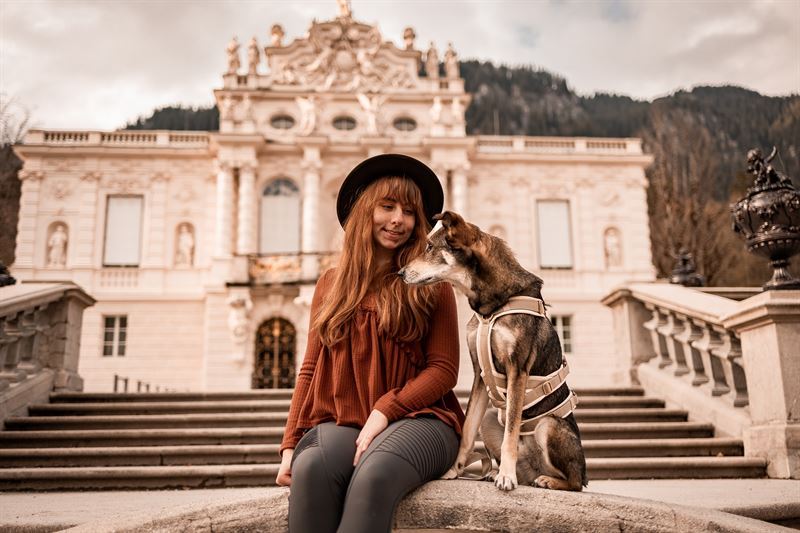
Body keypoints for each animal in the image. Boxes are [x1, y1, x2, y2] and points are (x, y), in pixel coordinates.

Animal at [400, 211, 588, 490]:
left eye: (430, 247)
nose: (400, 272)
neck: (491, 307)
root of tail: (533, 468)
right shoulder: (479, 374)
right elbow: (467, 430)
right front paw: (453, 470)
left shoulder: (517, 369)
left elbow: (511, 429)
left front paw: (506, 476)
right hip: (490, 417)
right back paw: (494, 472)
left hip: (549, 426)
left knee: (575, 481)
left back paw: (545, 480)